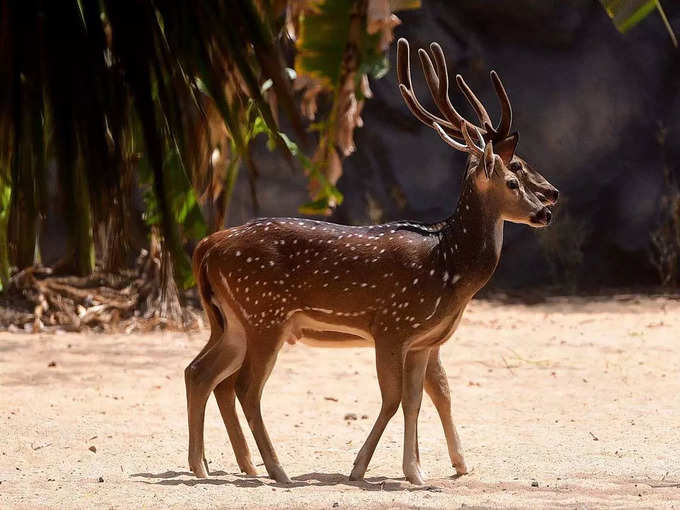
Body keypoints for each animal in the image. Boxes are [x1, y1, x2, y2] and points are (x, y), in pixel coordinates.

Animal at [185, 37, 556, 484]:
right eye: (514, 177)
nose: (547, 207)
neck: (448, 267)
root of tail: (207, 245)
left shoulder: (421, 339)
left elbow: (418, 398)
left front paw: (417, 469)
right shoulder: (392, 325)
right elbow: (395, 399)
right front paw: (366, 468)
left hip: (233, 320)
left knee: (200, 372)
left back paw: (207, 465)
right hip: (264, 313)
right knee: (244, 387)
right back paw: (275, 469)